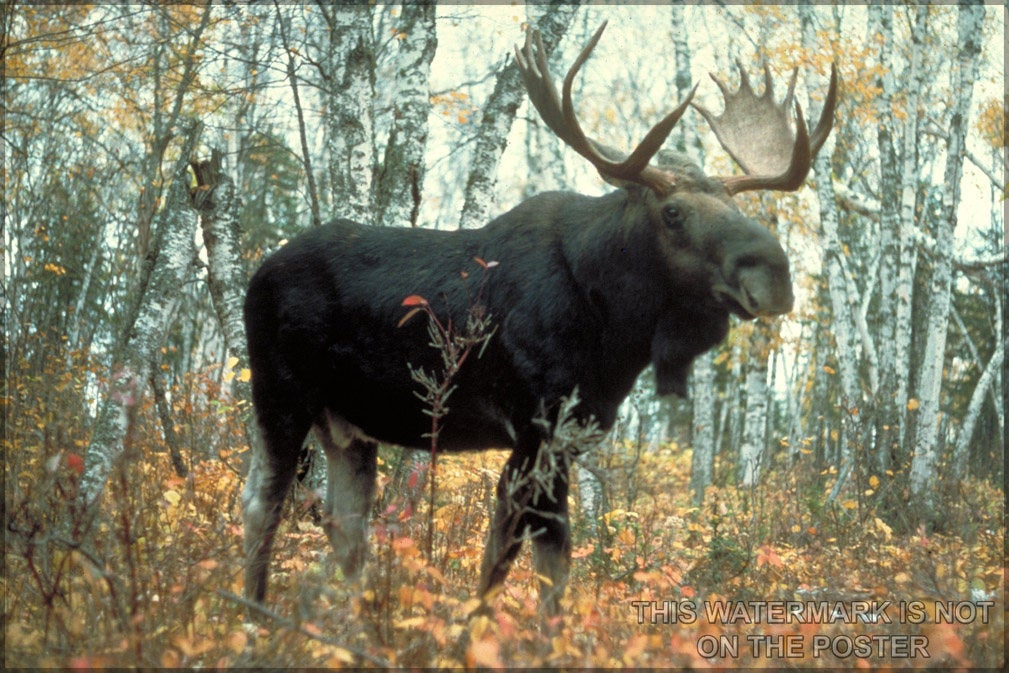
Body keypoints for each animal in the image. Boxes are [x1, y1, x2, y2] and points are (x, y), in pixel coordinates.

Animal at [240, 22, 837, 616]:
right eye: (673, 213)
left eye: (738, 210)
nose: (775, 273)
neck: (616, 331)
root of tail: (258, 272)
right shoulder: (536, 426)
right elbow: (516, 559)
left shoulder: (570, 434)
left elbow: (543, 564)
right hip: (281, 394)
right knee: (262, 503)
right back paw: (255, 614)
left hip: (347, 427)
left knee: (345, 528)